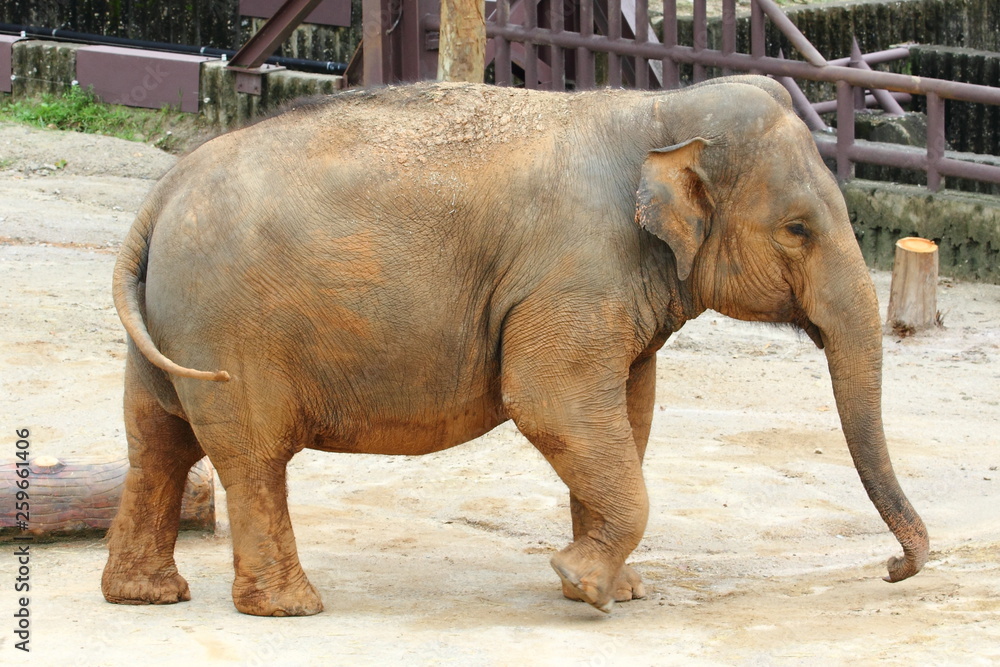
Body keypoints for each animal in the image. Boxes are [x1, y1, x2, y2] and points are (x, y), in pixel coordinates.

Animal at [102, 76, 928, 616]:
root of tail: (159, 194)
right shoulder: (576, 268)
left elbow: (627, 410)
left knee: (156, 441)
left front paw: (614, 587)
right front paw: (582, 585)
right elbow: (551, 400)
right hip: (228, 328)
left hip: (169, 325)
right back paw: (292, 607)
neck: (658, 109)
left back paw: (146, 594)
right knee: (250, 454)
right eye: (798, 228)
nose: (895, 568)